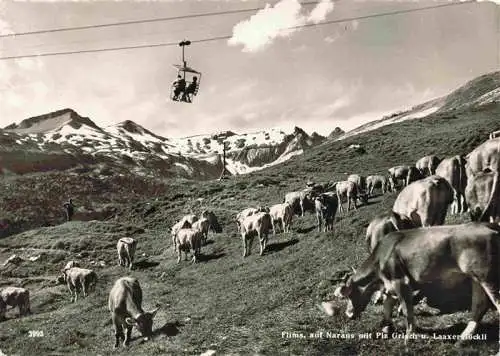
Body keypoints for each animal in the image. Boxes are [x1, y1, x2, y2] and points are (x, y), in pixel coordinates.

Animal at [330, 225, 500, 344]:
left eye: (349, 294)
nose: (348, 314)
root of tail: (489, 225)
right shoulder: (390, 285)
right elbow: (387, 307)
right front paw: (386, 328)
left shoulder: (400, 282)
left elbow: (406, 310)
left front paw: (408, 338)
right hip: (476, 279)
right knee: (479, 305)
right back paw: (462, 339)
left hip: (488, 278)